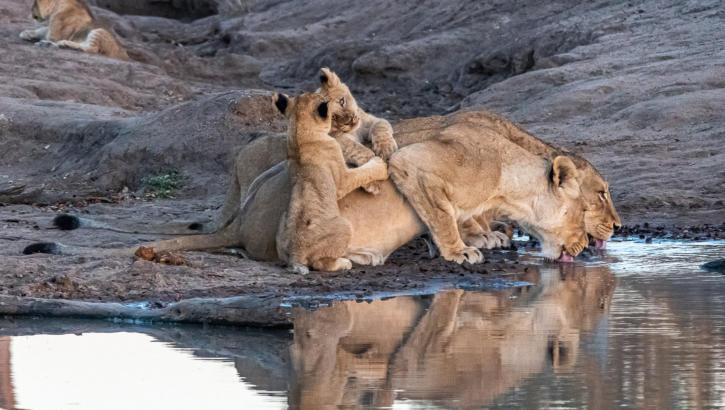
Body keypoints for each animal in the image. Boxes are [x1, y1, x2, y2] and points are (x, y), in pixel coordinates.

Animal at [273, 92, 388, 273]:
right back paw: (344, 263)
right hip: (345, 226)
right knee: (321, 263)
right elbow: (361, 174)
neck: (299, 135)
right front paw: (379, 164)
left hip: (282, 224)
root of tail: (296, 253)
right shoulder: (342, 180)